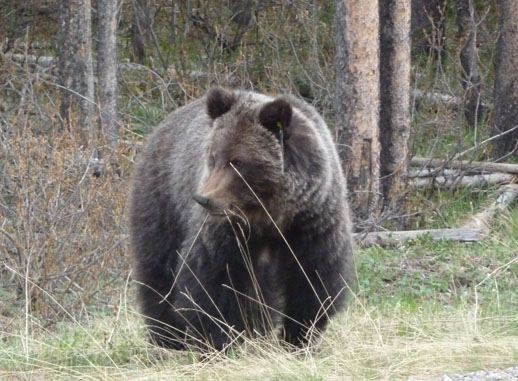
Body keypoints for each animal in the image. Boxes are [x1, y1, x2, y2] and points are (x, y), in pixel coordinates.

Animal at [130, 87, 358, 350]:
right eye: (213, 156)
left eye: (238, 161)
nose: (204, 199)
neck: (269, 215)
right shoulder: (226, 231)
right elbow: (212, 281)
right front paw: (219, 340)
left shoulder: (312, 224)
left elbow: (312, 282)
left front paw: (297, 339)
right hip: (163, 203)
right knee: (158, 269)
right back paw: (168, 337)